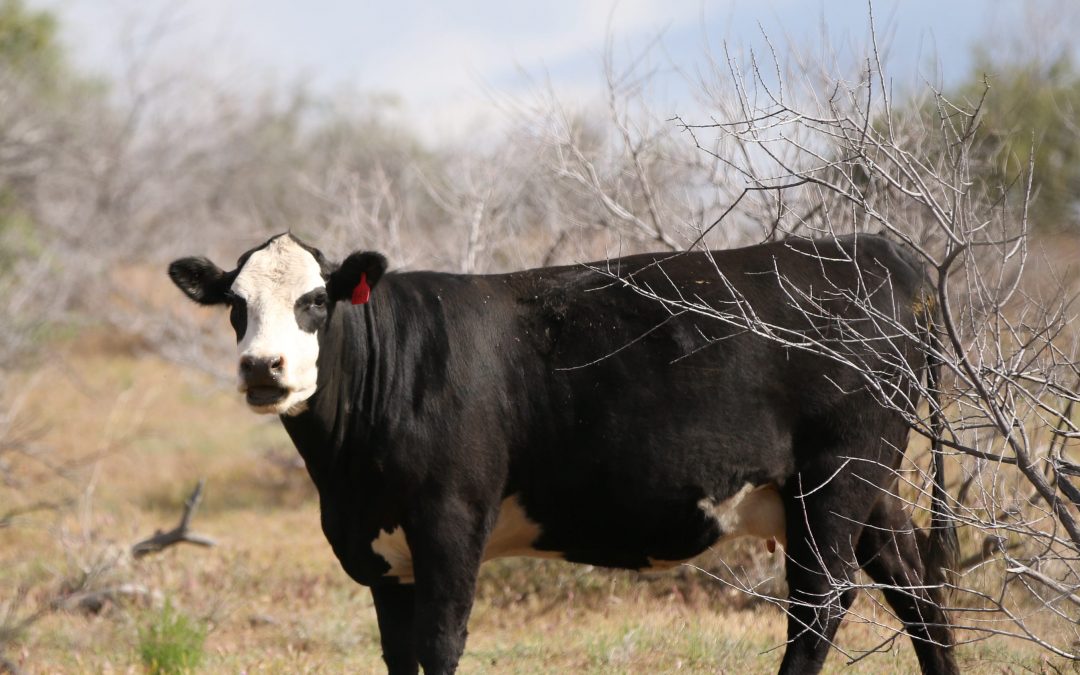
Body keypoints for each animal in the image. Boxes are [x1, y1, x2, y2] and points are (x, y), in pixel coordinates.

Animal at [166, 231, 954, 673]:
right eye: (236, 304)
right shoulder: (385, 553)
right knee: (920, 596)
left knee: (819, 608)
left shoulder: (451, 521)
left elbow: (440, 645)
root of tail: (881, 250)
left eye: (315, 302)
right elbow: (398, 655)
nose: (262, 367)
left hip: (835, 481)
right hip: (871, 487)